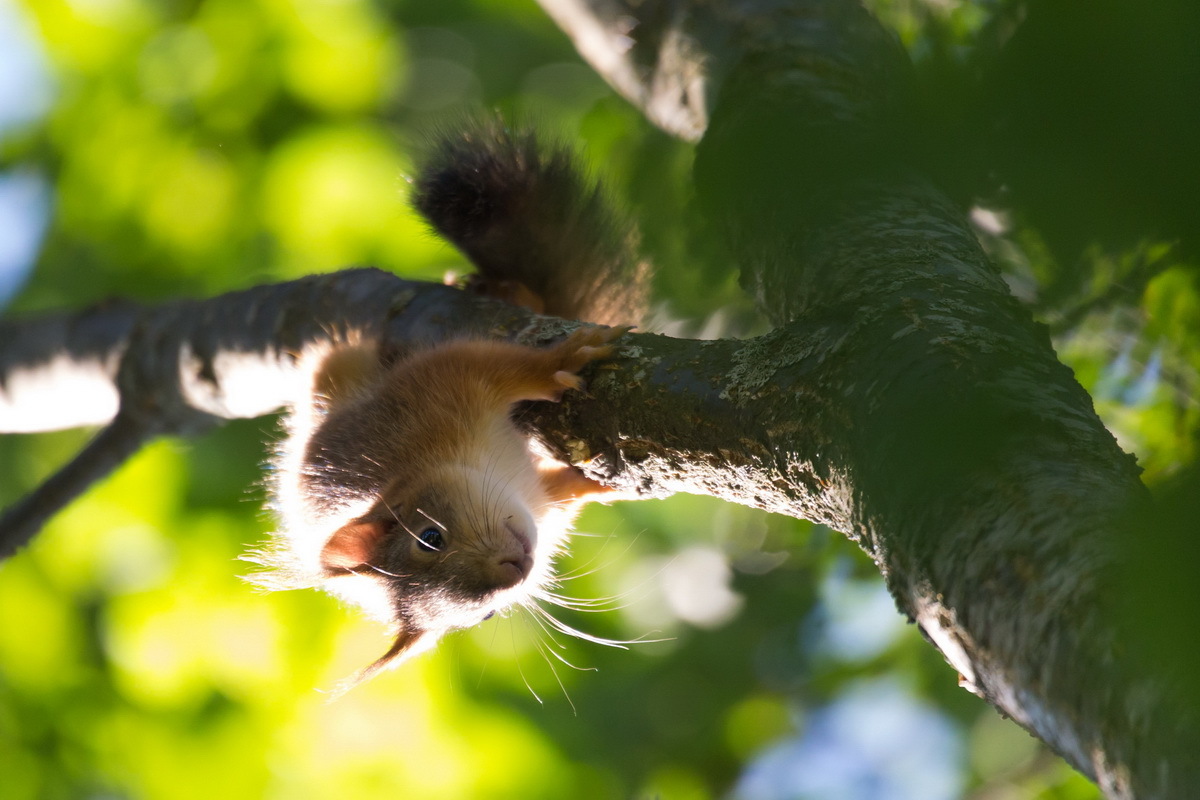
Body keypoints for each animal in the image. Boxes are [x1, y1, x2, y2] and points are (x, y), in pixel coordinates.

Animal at [253, 122, 648, 686]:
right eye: (485, 617)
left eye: (430, 537)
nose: (514, 570)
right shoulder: (534, 494)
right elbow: (562, 490)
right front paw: (596, 483)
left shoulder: (440, 383)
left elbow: (505, 368)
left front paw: (560, 361)